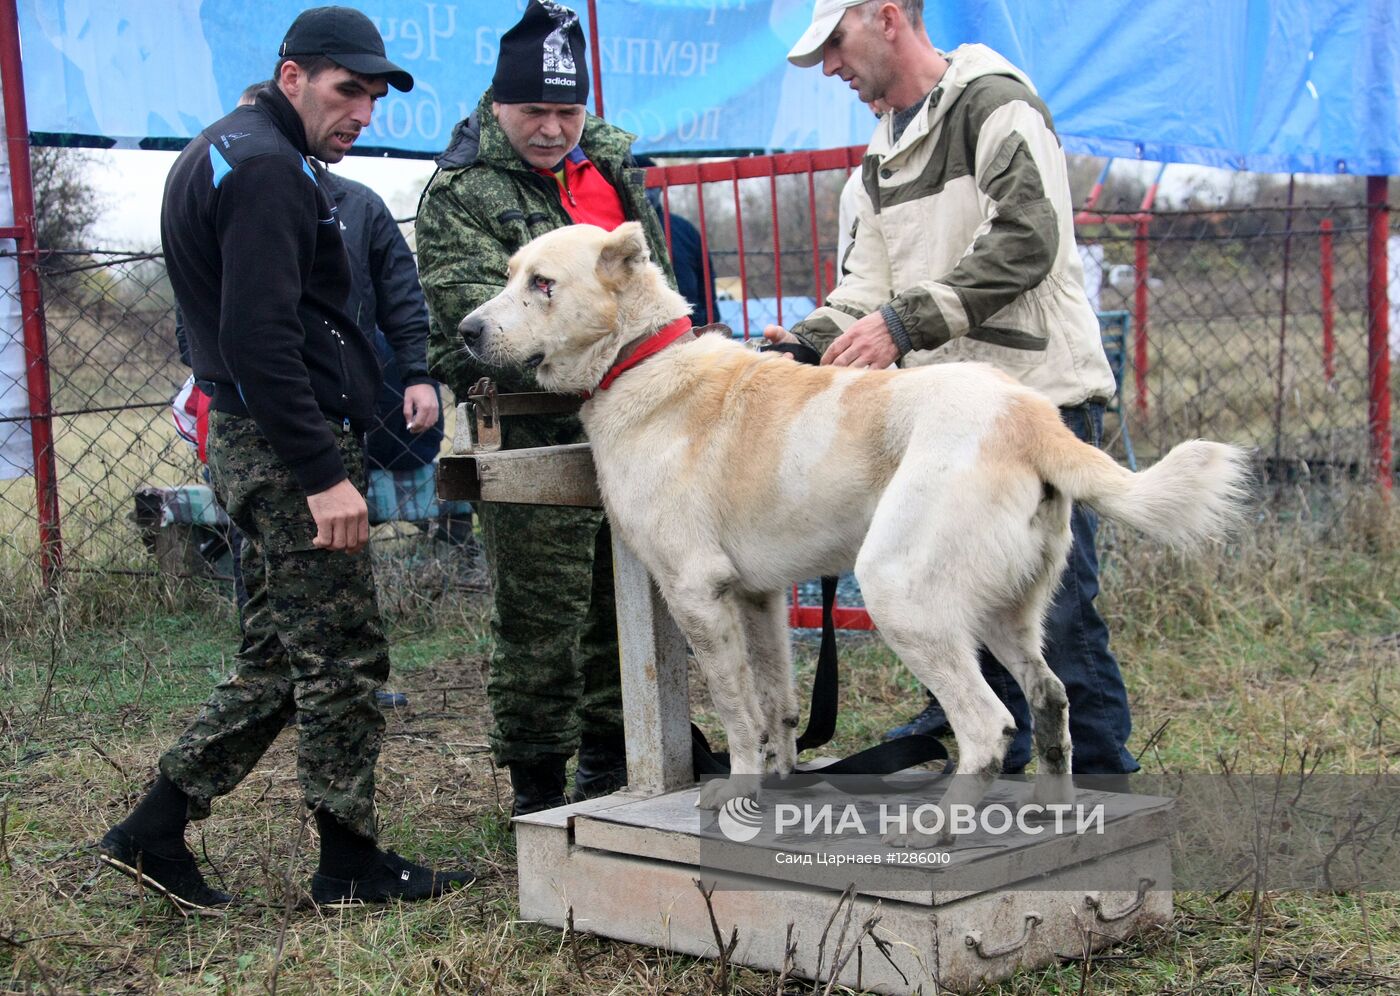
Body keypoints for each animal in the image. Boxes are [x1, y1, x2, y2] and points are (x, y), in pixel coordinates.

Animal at [459, 222, 1248, 846]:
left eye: (543, 284)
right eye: (509, 275)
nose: (466, 331)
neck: (641, 358)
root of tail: (1028, 416)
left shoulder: (695, 594)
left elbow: (739, 713)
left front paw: (736, 792)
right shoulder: (760, 598)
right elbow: (777, 706)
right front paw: (780, 783)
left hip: (902, 594)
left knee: (989, 724)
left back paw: (941, 827)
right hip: (1002, 611)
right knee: (1050, 697)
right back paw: (1056, 809)